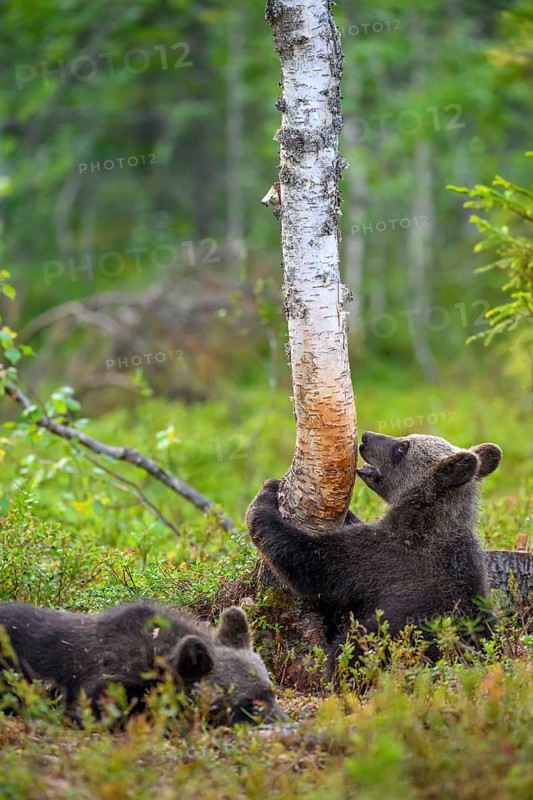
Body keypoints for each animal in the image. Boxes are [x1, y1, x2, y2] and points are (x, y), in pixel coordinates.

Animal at [246, 431, 502, 678]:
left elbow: (315, 562)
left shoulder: (389, 558)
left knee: (349, 648)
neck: (428, 517)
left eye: (402, 447)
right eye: (405, 440)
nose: (366, 437)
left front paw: (264, 498)